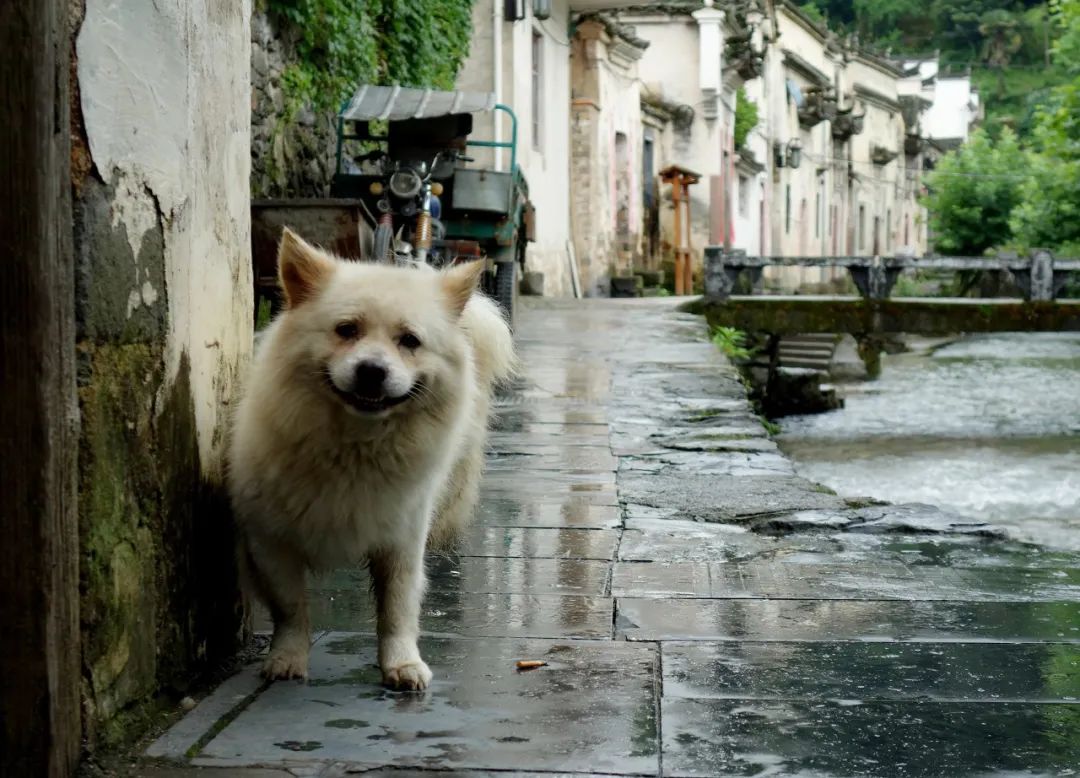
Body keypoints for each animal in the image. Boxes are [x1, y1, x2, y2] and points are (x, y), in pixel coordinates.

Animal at [227, 227, 514, 691]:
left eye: (410, 341)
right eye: (346, 330)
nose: (372, 371)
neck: (354, 446)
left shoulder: (402, 538)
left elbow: (397, 609)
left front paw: (402, 663)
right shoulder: (270, 540)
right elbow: (291, 609)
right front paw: (288, 658)